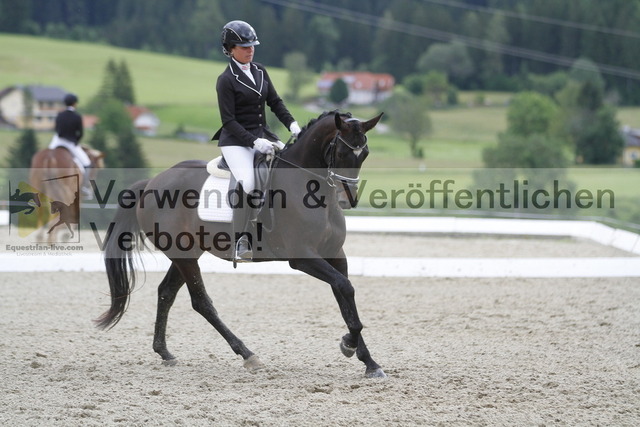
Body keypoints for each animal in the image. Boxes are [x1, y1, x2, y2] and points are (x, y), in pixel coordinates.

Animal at [96, 110, 387, 378]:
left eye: (364, 153)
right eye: (340, 150)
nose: (347, 199)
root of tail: (152, 183)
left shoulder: (335, 254)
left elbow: (345, 295)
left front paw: (368, 361)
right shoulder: (303, 257)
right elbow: (344, 287)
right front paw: (349, 345)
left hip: (187, 252)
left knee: (166, 292)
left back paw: (164, 352)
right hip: (184, 255)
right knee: (201, 302)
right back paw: (248, 355)